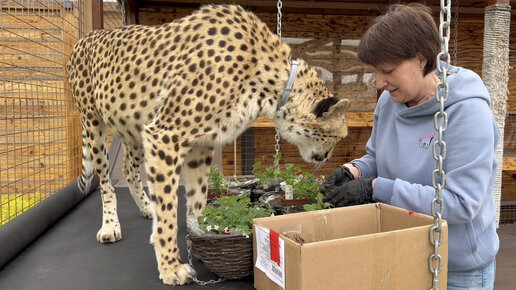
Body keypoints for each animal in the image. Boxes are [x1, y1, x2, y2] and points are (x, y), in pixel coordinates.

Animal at [66, 4, 350, 286]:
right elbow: (168, 208)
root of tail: (84, 38)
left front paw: (201, 231)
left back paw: (146, 206)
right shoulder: (165, 135)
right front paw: (171, 266)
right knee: (105, 181)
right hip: (94, 125)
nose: (327, 157)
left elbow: (198, 195)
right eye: (338, 136)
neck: (271, 84)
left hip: (132, 127)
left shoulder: (199, 144)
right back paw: (110, 226)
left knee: (127, 169)